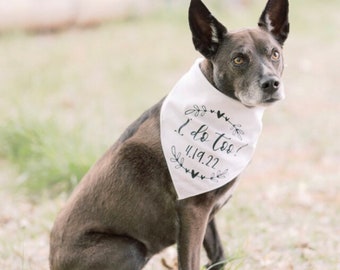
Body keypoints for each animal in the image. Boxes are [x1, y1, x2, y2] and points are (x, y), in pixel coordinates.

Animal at [49, 1, 290, 268]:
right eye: (238, 59)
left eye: (274, 54)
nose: (271, 84)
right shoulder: (192, 212)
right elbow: (191, 261)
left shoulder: (205, 214)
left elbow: (217, 255)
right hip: (130, 247)